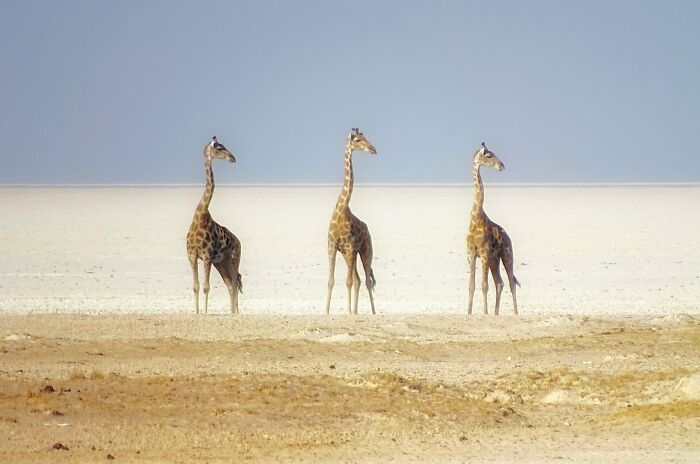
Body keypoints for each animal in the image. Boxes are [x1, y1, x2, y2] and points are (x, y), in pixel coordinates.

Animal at [187, 136, 242, 314]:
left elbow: (206, 287)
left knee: (235, 282)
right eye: (219, 148)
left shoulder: (207, 256)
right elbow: (196, 286)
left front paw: (205, 313)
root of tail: (239, 242)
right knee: (231, 284)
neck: (201, 215)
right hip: (221, 262)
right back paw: (232, 313)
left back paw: (235, 313)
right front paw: (197, 313)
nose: (233, 158)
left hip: (233, 258)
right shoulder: (192, 255)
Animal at [324, 127, 378, 316]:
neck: (341, 212)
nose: (373, 149)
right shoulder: (332, 247)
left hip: (365, 250)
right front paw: (326, 311)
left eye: (365, 137)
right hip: (351, 255)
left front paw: (347, 311)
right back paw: (355, 311)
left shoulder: (349, 248)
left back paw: (372, 312)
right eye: (358, 140)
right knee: (359, 280)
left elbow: (348, 281)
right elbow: (331, 280)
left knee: (366, 280)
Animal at [464, 142, 520, 316]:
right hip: (495, 260)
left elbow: (484, 286)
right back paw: (496, 313)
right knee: (500, 283)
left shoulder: (484, 253)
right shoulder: (471, 254)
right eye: (489, 155)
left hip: (507, 255)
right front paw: (469, 312)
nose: (502, 166)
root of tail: (508, 236)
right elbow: (472, 285)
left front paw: (485, 313)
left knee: (511, 282)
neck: (475, 218)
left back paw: (516, 313)